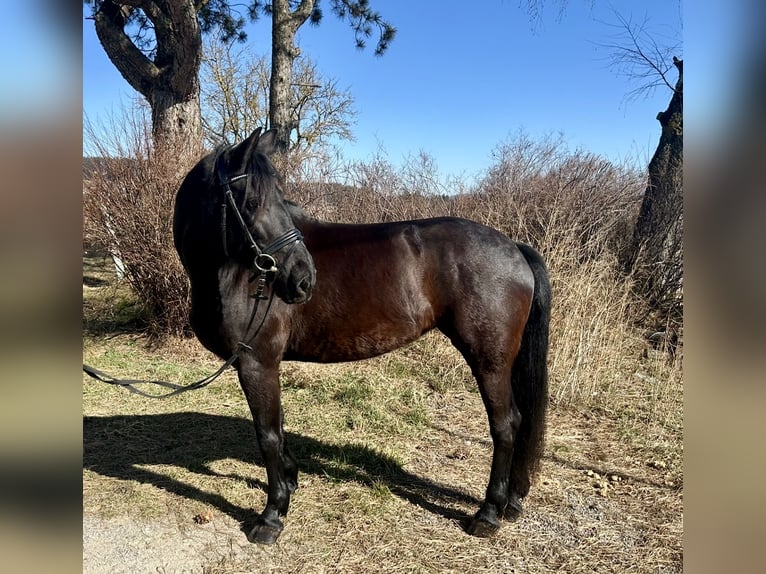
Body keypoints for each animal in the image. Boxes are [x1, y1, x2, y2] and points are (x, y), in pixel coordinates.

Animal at [174, 128, 552, 548]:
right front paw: (290, 482)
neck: (235, 275)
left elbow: (268, 434)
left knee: (506, 424)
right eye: (253, 202)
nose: (304, 279)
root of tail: (513, 247)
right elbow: (279, 428)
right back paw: (512, 501)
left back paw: (488, 513)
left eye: (279, 199)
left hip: (490, 361)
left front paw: (272, 516)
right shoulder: (265, 366)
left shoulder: (257, 363)